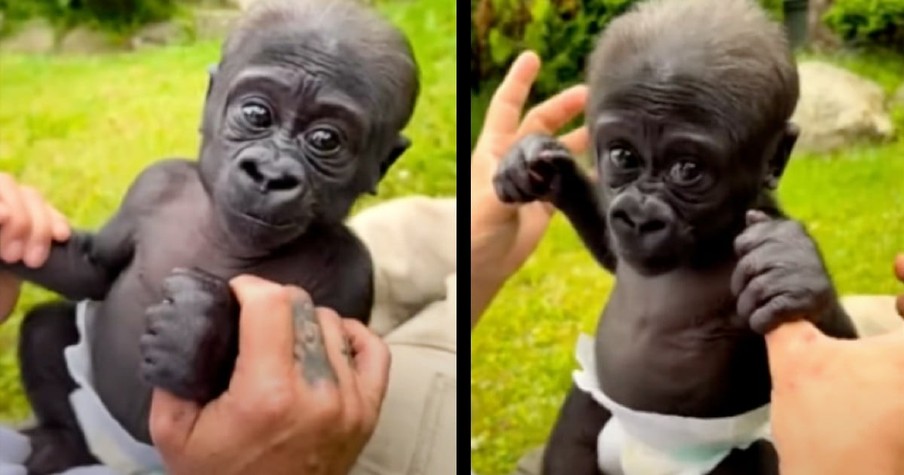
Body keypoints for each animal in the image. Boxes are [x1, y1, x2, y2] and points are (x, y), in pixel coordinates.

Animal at [0, 1, 416, 474]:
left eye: (326, 139)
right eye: (256, 115)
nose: (270, 175)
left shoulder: (352, 270)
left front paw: (197, 337)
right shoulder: (153, 184)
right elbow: (92, 271)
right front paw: (18, 224)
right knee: (46, 330)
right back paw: (65, 441)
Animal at [498, 0, 860, 472]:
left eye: (687, 169)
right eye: (622, 156)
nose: (639, 216)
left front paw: (795, 273)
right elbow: (611, 250)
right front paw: (545, 169)